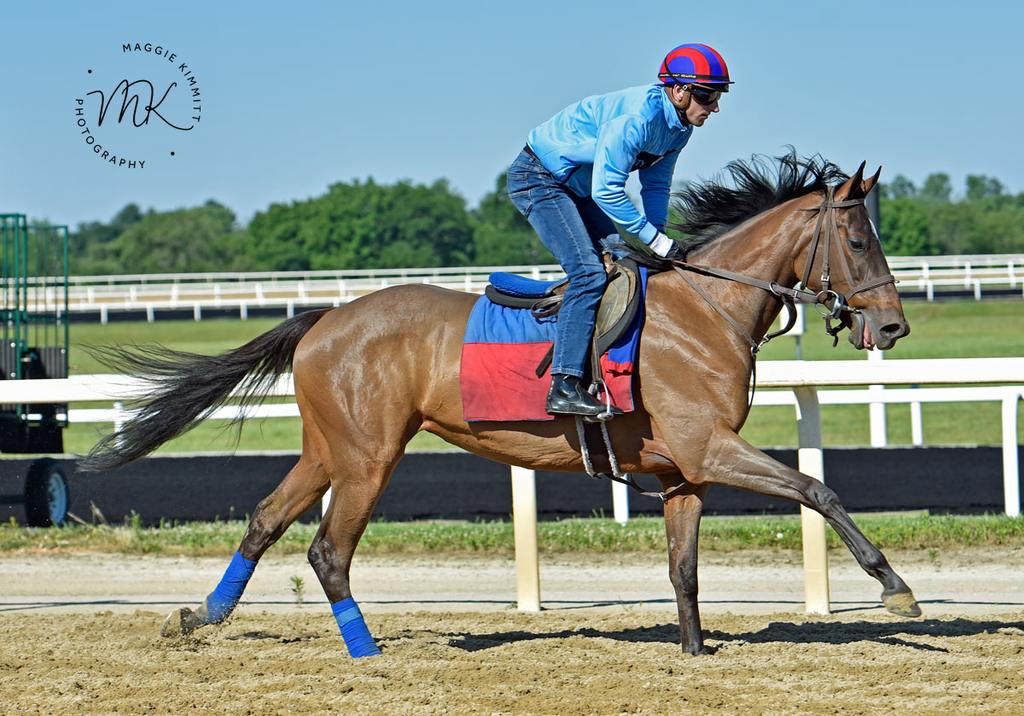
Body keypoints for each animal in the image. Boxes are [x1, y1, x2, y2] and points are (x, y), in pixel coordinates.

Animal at [86, 153, 921, 659]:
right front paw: (895, 589)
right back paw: (365, 649)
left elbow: (683, 567)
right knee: (327, 549)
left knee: (264, 519)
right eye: (857, 238)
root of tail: (322, 319)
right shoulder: (708, 446)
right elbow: (817, 488)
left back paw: (200, 615)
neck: (704, 312)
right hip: (368, 456)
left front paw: (693, 649)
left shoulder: (683, 471)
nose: (892, 327)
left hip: (329, 449)